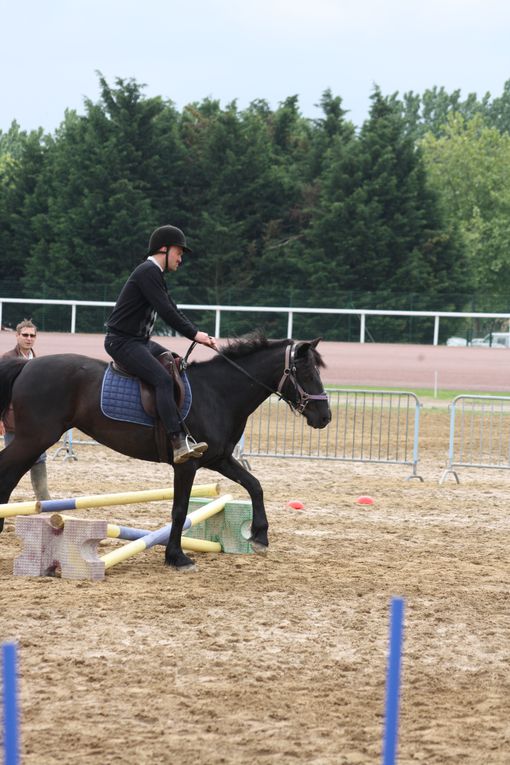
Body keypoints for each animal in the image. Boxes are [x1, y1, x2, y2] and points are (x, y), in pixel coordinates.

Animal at [0, 332, 330, 568]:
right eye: (305, 372)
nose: (324, 417)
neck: (217, 393)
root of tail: (28, 364)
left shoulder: (219, 458)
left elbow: (254, 485)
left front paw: (259, 535)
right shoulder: (187, 464)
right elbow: (179, 508)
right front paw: (176, 556)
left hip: (34, 439)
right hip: (34, 438)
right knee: (8, 471)